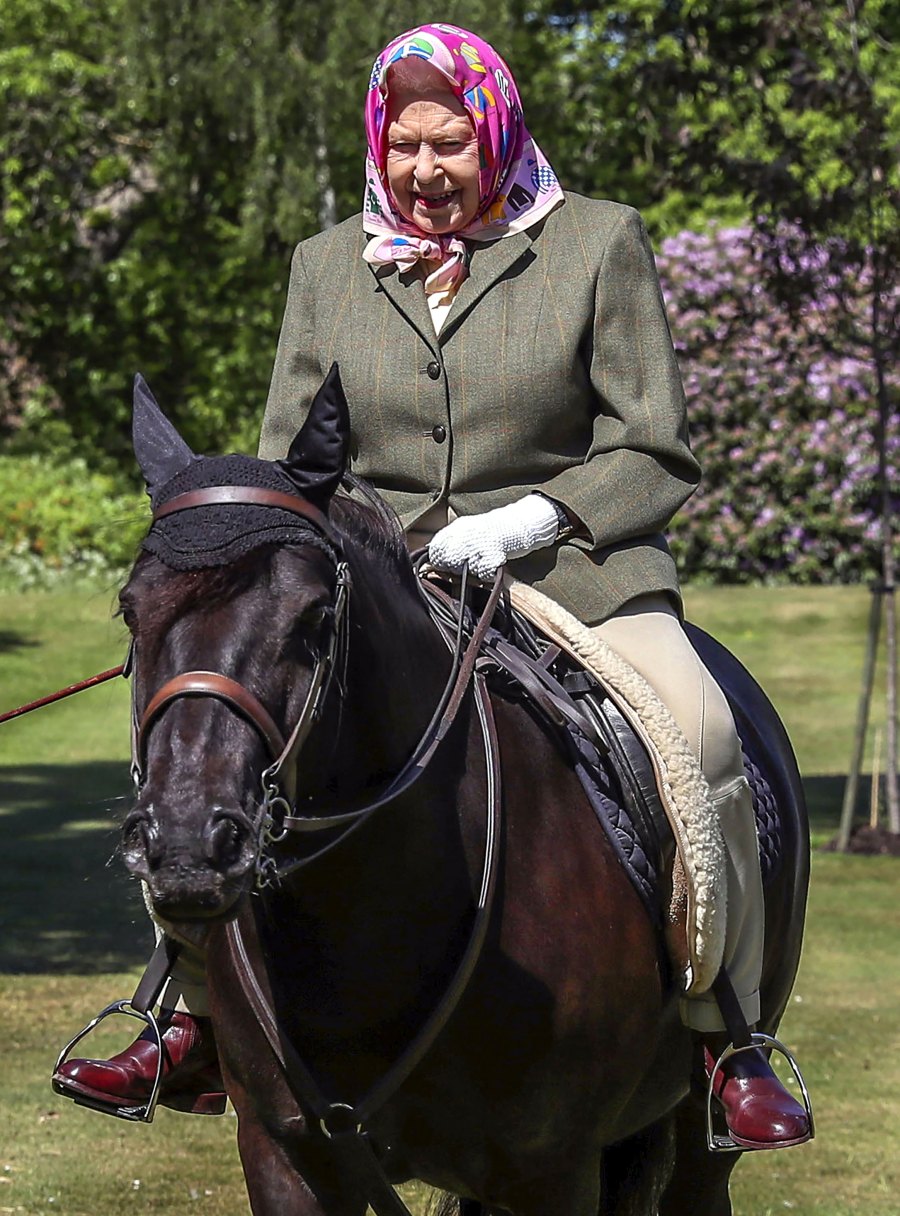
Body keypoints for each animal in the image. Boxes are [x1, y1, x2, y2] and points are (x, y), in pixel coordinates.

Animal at [117, 372, 807, 1216]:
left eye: (315, 616)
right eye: (130, 609)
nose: (187, 844)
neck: (367, 924)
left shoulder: (551, 1173)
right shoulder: (286, 1158)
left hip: (700, 1131)